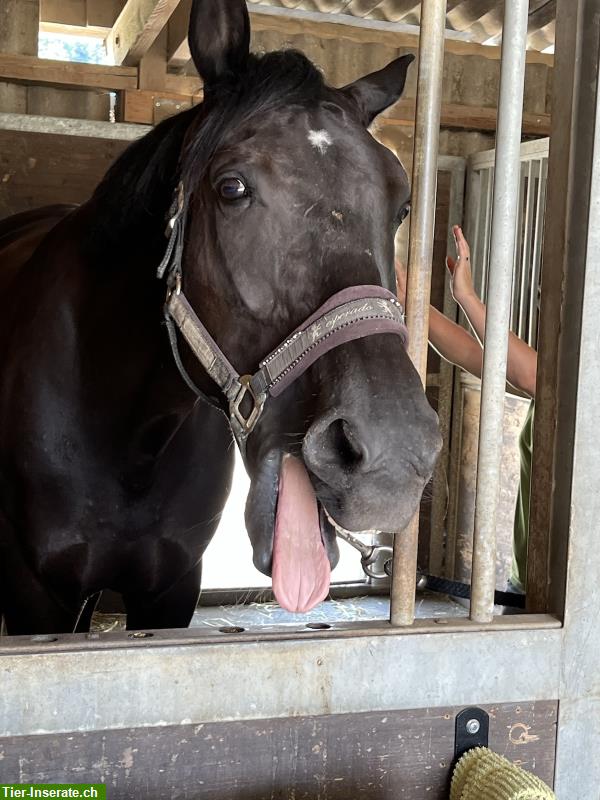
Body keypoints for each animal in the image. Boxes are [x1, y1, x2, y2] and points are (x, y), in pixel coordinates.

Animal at [0, 1, 440, 636]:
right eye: (232, 188)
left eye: (403, 205)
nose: (393, 452)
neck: (126, 432)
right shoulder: (38, 599)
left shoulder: (171, 588)